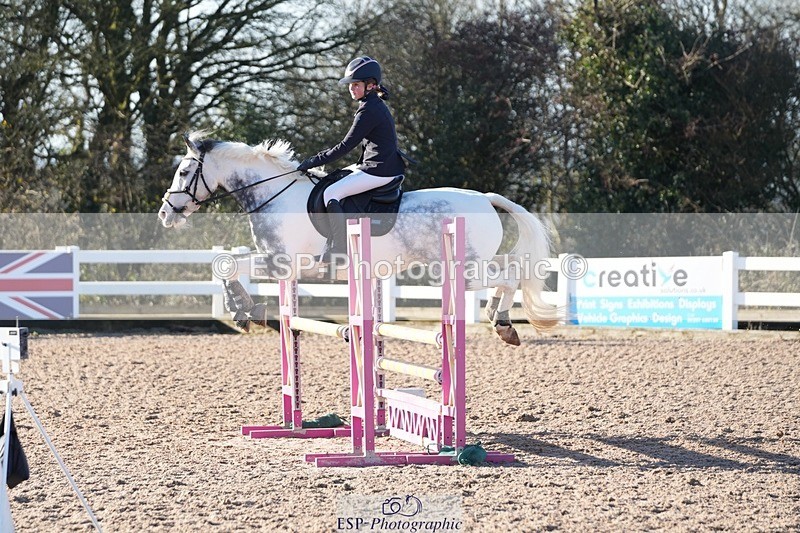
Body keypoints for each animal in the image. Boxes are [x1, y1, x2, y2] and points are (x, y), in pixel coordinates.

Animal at [158, 132, 556, 345]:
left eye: (184, 172)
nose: (165, 213)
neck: (274, 193)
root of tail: (484, 198)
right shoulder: (280, 266)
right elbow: (227, 265)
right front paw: (244, 309)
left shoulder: (283, 263)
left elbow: (226, 265)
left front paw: (244, 309)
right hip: (471, 264)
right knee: (510, 271)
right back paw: (496, 317)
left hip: (464, 269)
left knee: (509, 277)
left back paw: (503, 324)